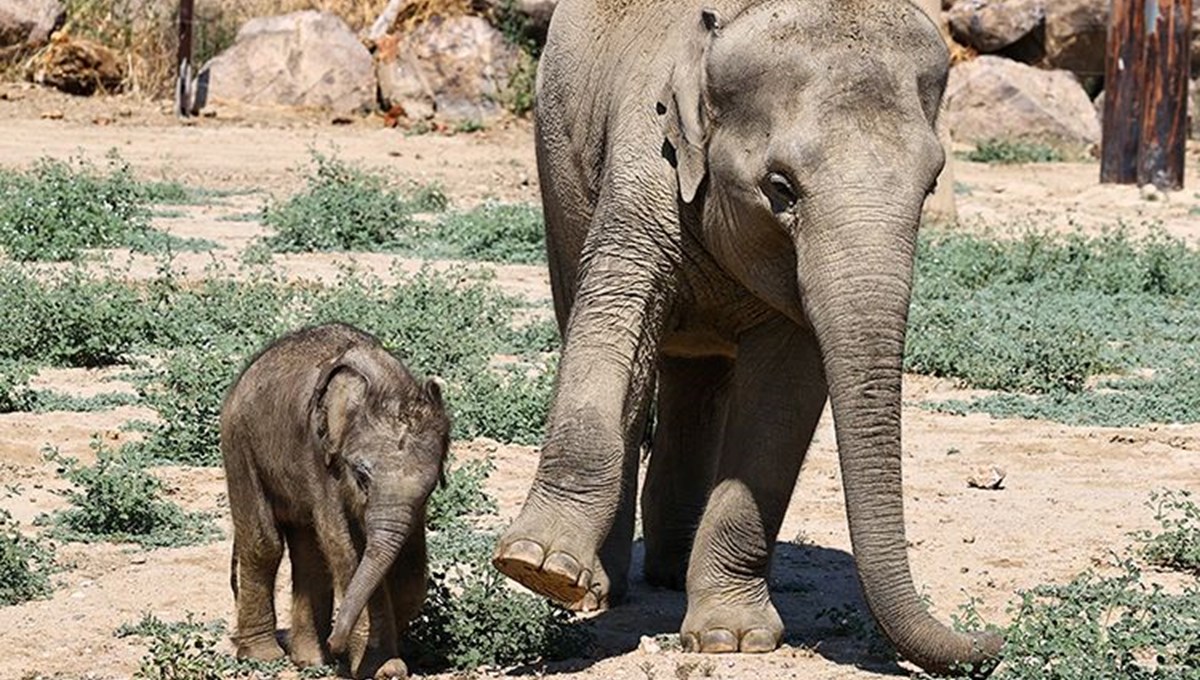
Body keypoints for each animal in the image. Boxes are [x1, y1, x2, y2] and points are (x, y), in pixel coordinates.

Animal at [222, 323, 451, 676]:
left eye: (431, 486)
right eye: (361, 476)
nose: (335, 641)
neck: (383, 385)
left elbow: (410, 567)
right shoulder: (322, 458)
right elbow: (343, 545)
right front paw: (383, 668)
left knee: (309, 551)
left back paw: (309, 659)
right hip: (238, 443)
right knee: (264, 543)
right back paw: (264, 656)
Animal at [492, 0, 998, 676]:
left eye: (932, 185)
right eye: (780, 188)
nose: (990, 640)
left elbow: (784, 397)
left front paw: (732, 639)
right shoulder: (645, 159)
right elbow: (611, 316)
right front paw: (539, 567)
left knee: (698, 377)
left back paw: (674, 574)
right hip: (558, 174)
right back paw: (603, 586)